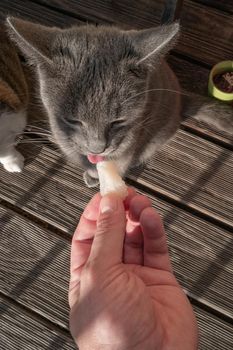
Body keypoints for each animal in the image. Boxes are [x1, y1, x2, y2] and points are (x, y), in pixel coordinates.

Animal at [5, 17, 233, 186]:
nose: (97, 149)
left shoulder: (128, 144)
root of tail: (180, 96)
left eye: (118, 121)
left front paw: (97, 176)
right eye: (73, 120)